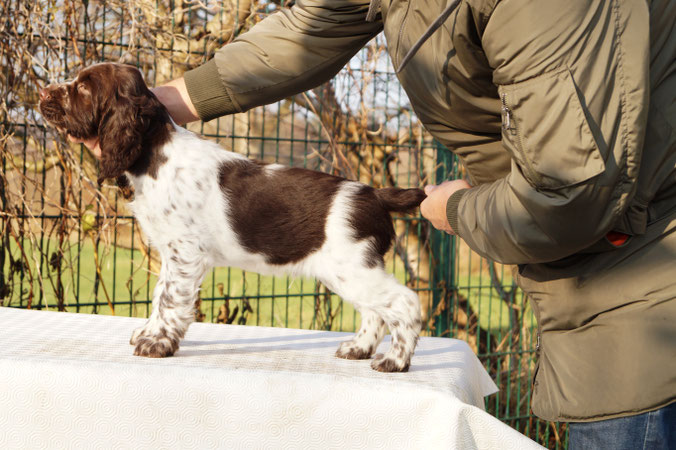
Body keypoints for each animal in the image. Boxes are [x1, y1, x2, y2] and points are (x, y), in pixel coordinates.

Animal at [38, 63, 422, 372]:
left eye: (84, 87)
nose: (42, 92)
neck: (155, 153)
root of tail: (374, 194)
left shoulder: (185, 253)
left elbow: (170, 299)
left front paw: (156, 343)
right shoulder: (172, 253)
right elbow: (160, 294)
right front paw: (148, 332)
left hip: (351, 267)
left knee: (404, 303)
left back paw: (394, 360)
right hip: (352, 271)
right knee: (375, 310)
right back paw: (358, 348)